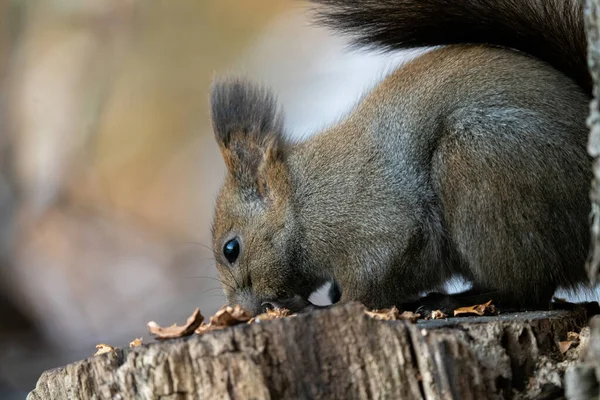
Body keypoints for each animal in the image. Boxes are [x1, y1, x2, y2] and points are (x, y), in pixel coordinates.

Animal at [209, 0, 592, 318]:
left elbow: (373, 279)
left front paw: (318, 308)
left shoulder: (375, 222)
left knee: (527, 288)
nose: (242, 310)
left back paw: (451, 301)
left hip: (482, 161)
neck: (302, 203)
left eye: (231, 248)